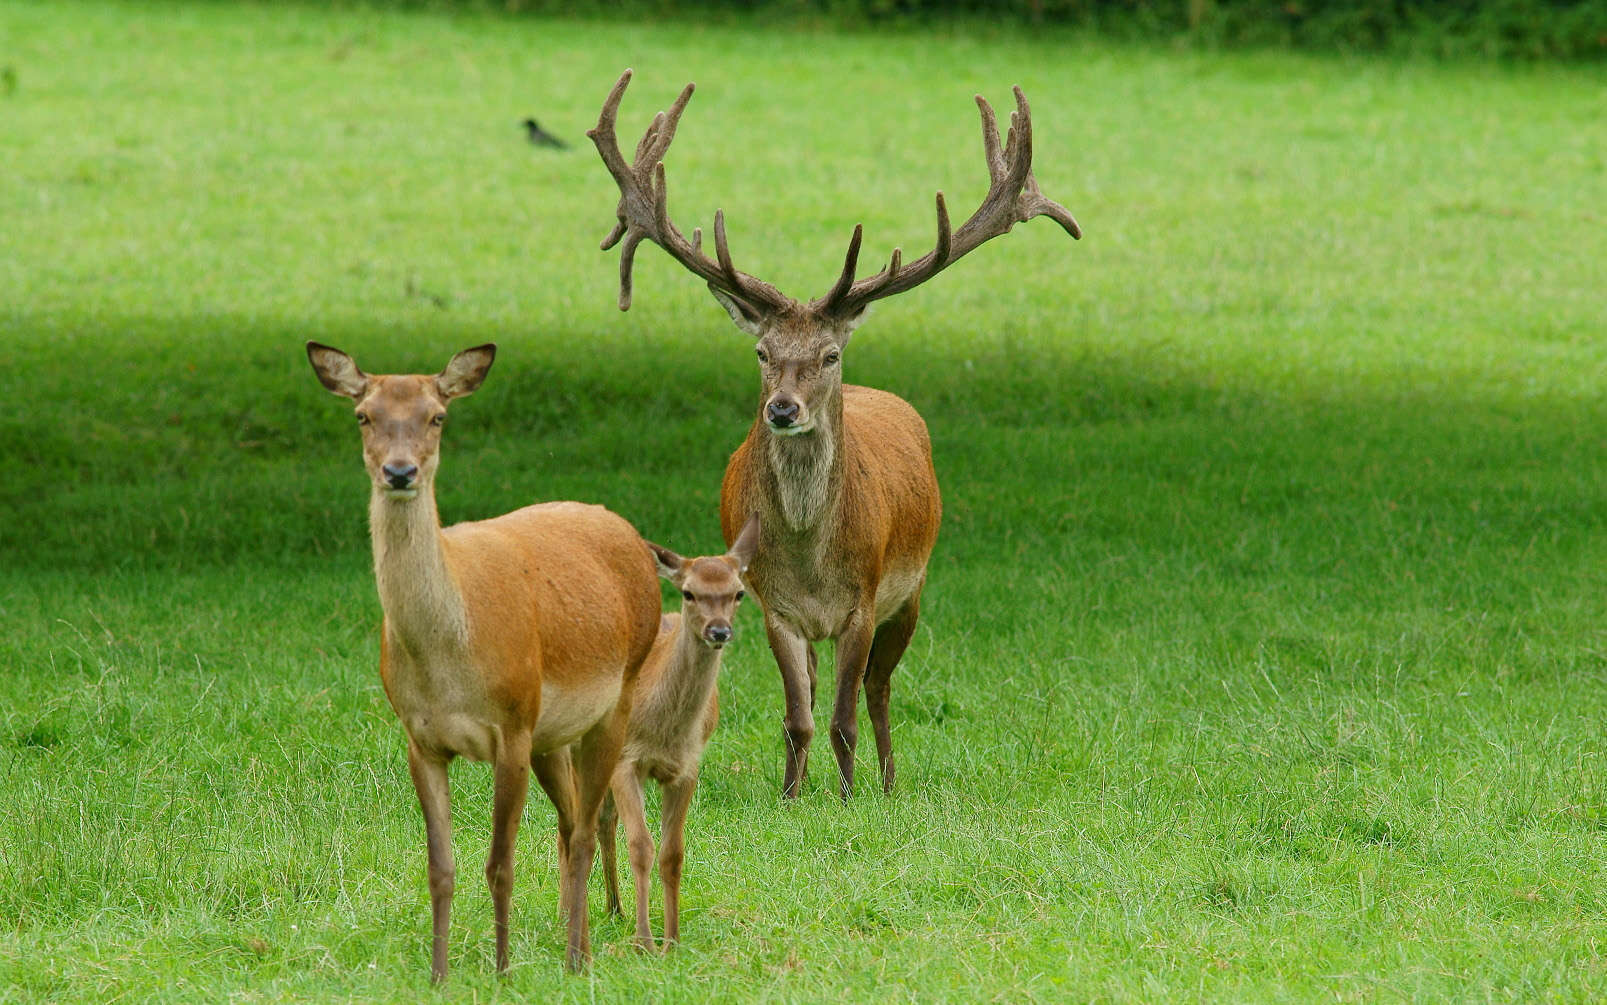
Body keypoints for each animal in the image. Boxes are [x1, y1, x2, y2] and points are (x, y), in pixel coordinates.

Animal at [306, 342, 658, 971]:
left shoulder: (512, 726)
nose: (400, 472)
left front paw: (501, 970)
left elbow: (500, 864)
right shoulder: (420, 737)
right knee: (571, 820)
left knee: (586, 828)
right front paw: (439, 973)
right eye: (363, 415)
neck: (450, 659)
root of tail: (628, 531)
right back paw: (577, 939)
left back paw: (578, 956)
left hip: (614, 700)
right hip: (553, 734)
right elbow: (440, 868)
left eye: (437, 416)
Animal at [597, 517, 758, 945]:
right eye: (689, 592)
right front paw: (643, 941)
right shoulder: (626, 760)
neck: (664, 730)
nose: (719, 631)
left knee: (602, 820)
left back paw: (614, 908)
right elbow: (640, 846)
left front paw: (672, 939)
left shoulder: (688, 766)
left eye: (738, 593)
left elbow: (672, 852)